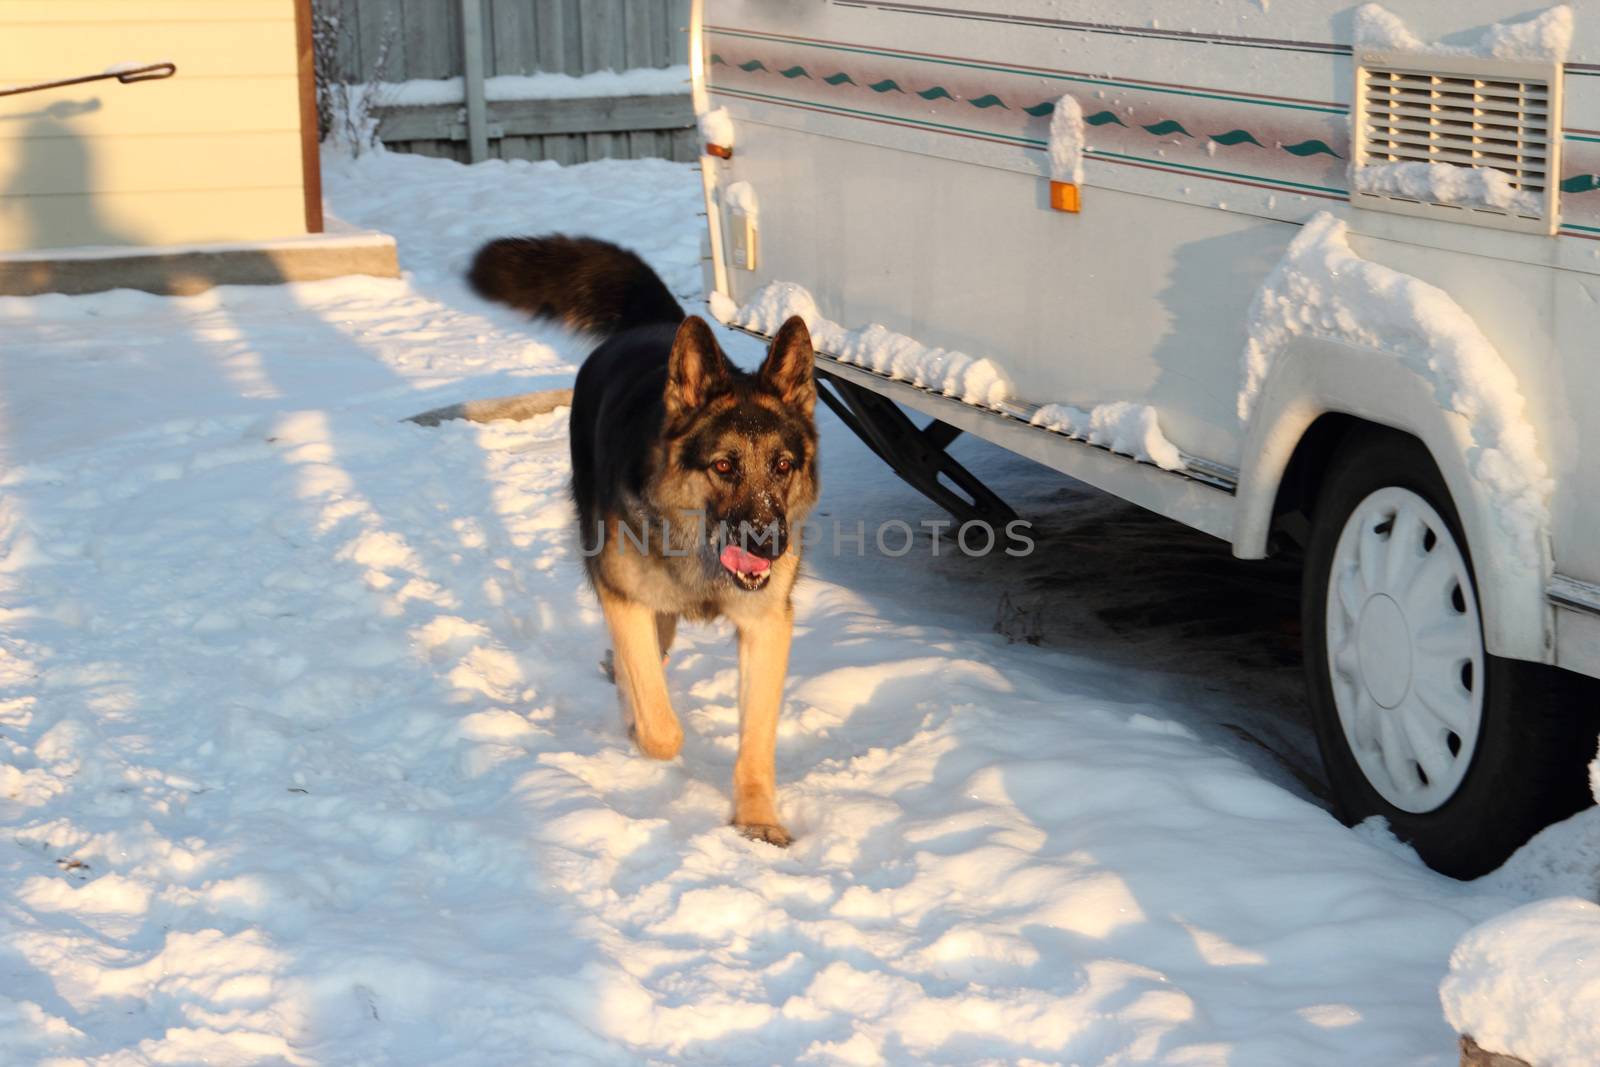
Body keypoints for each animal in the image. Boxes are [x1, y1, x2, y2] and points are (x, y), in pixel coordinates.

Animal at [457, 238, 819, 844]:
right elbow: (660, 725)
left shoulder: (766, 624)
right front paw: (641, 728)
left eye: (783, 465)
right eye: (724, 466)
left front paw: (756, 818)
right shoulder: (622, 596)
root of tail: (656, 324)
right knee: (642, 660)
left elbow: (756, 738)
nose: (770, 546)